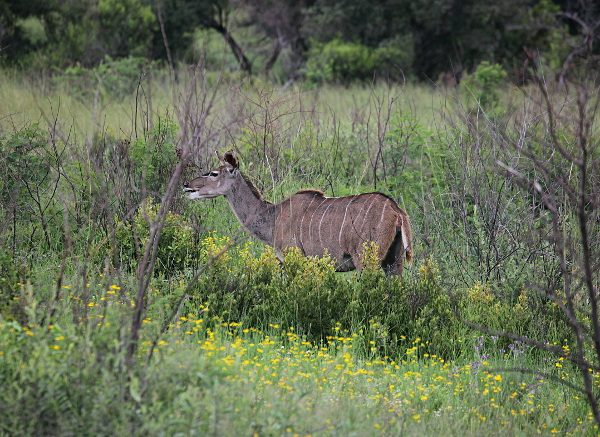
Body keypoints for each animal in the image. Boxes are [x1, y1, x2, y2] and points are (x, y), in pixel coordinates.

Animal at [186, 149, 412, 272]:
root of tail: (397, 211)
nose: (187, 186)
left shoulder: (291, 257)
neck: (273, 216)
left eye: (214, 173)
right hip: (394, 261)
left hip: (366, 260)